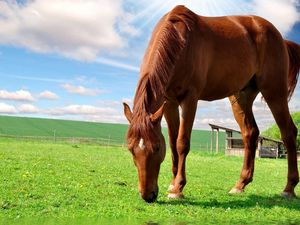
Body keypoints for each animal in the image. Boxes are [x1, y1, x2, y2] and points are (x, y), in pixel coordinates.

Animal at [122, 4, 300, 202]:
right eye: (131, 149)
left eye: (157, 148)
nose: (148, 195)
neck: (181, 42)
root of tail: (281, 38)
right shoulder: (169, 103)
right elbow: (173, 142)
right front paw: (172, 183)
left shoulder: (190, 99)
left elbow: (182, 143)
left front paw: (178, 188)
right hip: (241, 97)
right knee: (250, 133)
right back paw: (240, 184)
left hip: (274, 92)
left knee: (288, 132)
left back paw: (289, 188)